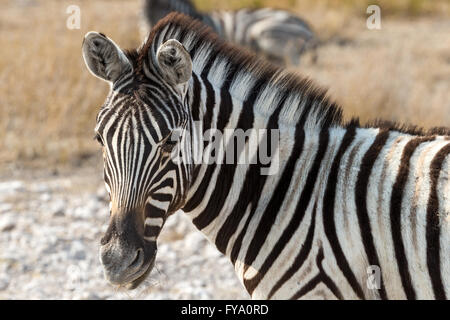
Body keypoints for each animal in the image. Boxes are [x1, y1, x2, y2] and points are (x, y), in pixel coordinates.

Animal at [141, 0, 316, 65]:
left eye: (160, 7)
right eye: (141, 14)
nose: (147, 31)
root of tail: (308, 27)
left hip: (264, 33)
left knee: (294, 59)